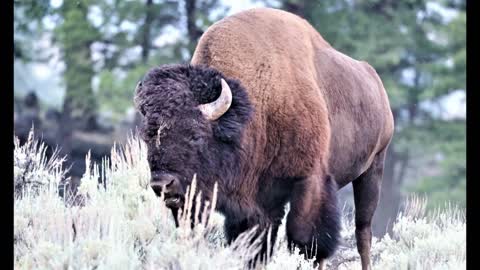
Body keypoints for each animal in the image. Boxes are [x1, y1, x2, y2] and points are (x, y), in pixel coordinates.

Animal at [134, 7, 394, 270]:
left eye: (195, 135)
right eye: (148, 138)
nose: (162, 184)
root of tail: (375, 81)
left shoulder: (310, 180)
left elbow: (305, 239)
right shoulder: (255, 204)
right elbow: (256, 246)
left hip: (373, 168)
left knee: (363, 232)